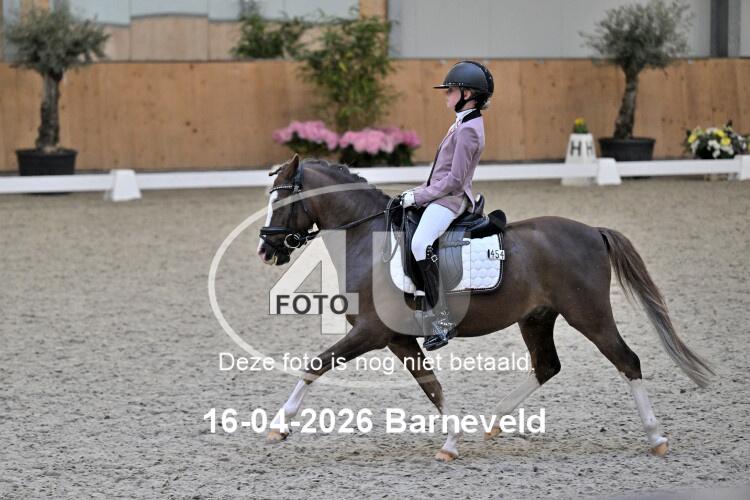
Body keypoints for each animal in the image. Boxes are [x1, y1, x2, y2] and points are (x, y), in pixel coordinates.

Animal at [256, 155, 713, 461]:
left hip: (590, 315)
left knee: (627, 361)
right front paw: (452, 441)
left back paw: (656, 438)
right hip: (537, 318)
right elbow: (432, 386)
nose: (265, 250)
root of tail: (591, 231)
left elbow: (315, 365)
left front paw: (279, 426)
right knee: (547, 365)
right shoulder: (397, 338)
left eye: (283, 201)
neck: (369, 240)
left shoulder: (371, 332)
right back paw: (493, 421)